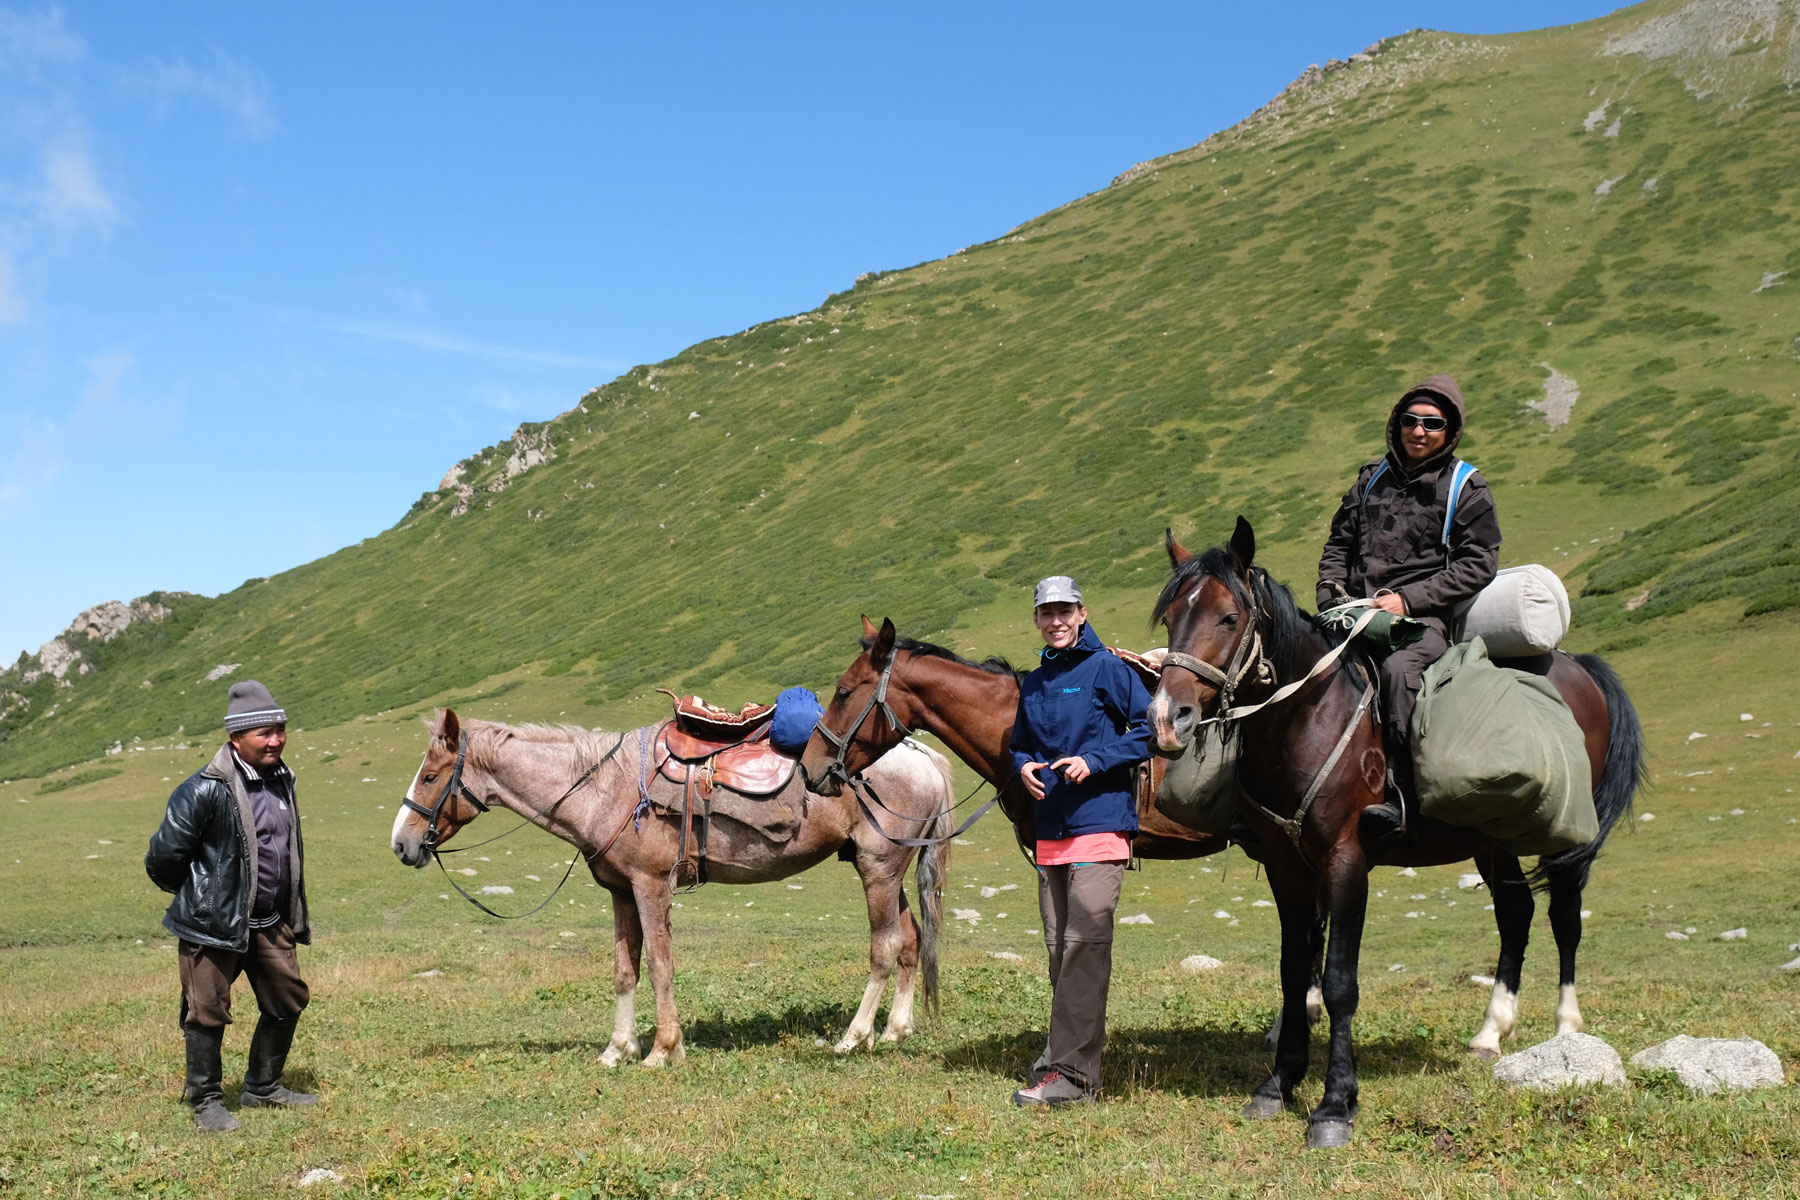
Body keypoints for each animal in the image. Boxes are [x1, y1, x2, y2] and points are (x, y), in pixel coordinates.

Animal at [390, 708, 957, 1065]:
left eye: (430, 776)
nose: (402, 844)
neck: (606, 789)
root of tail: (922, 755)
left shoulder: (651, 886)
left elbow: (661, 965)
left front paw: (664, 1049)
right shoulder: (620, 892)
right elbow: (625, 971)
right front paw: (617, 1050)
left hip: (877, 869)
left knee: (884, 947)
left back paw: (854, 1038)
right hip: (887, 870)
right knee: (910, 942)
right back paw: (895, 1031)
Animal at [1152, 521, 1648, 1151]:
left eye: (1227, 617)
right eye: (1171, 618)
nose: (1169, 718)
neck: (1306, 718)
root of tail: (1577, 665)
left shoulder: (1346, 862)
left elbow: (1339, 982)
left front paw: (1335, 1105)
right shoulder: (1288, 868)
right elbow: (1293, 970)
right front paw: (1279, 1083)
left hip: (1565, 840)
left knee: (1564, 917)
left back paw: (1566, 1030)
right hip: (1494, 839)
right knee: (1515, 913)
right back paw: (1490, 1032)